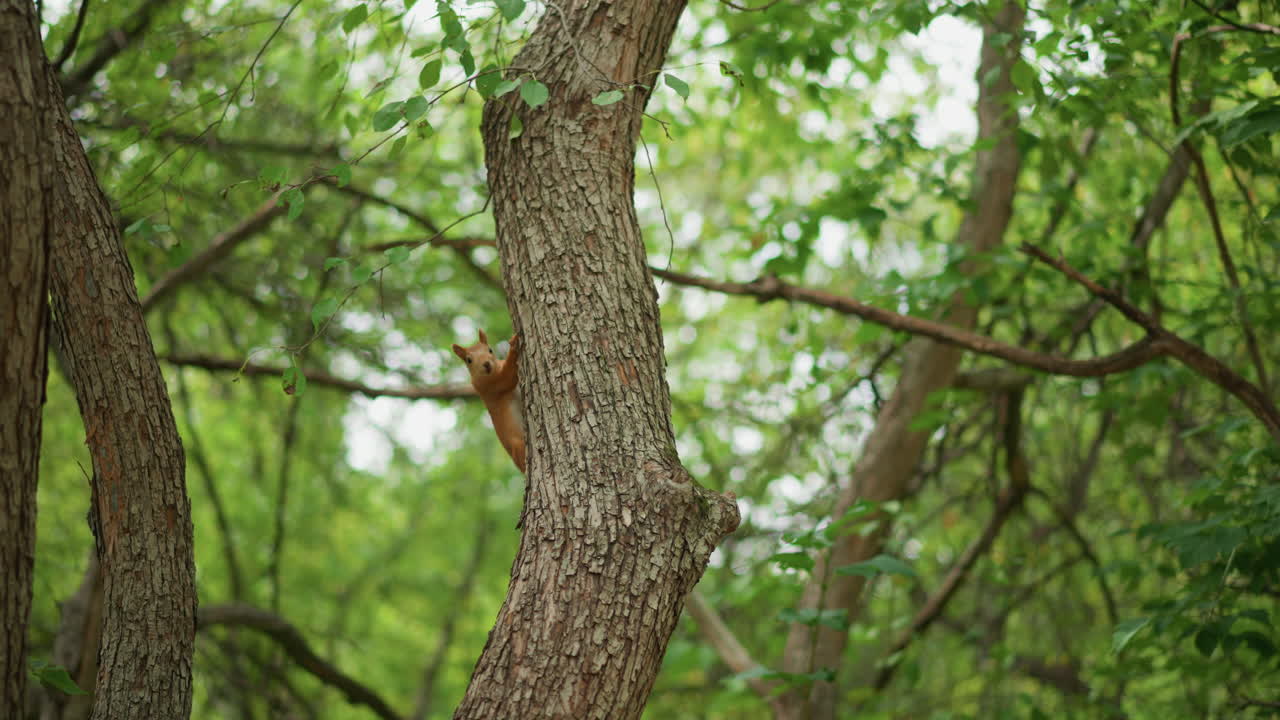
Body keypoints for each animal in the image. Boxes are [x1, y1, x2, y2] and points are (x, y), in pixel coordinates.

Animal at [452, 330, 526, 474]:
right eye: (469, 360)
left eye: (490, 350)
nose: (486, 364)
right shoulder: (490, 387)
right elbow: (508, 377)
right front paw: (514, 343)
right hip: (517, 446)